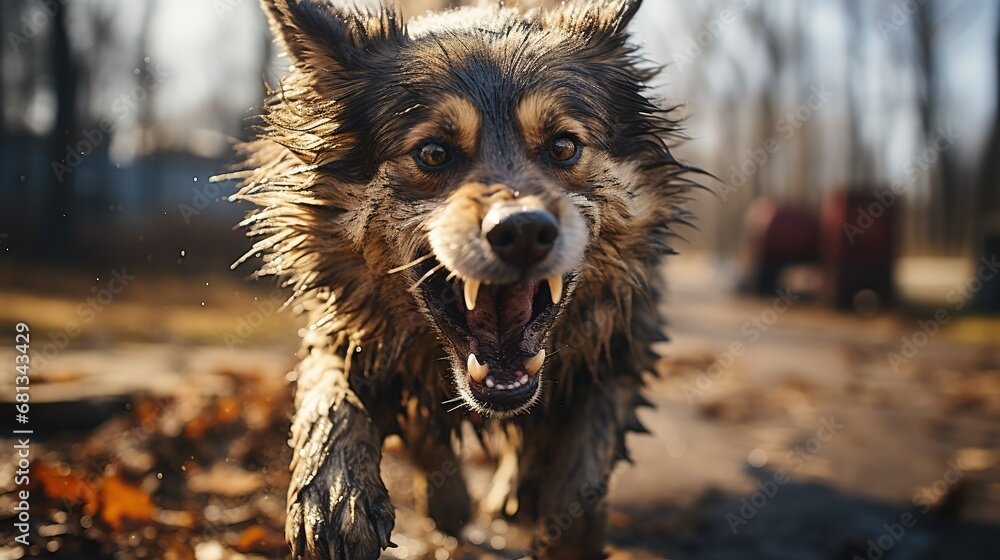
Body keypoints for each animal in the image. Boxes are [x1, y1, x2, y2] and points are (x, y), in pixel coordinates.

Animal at [226, 1, 696, 560]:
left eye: (563, 147)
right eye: (433, 153)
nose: (522, 231)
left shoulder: (619, 345)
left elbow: (579, 484)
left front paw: (560, 527)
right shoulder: (352, 329)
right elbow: (331, 397)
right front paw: (337, 491)